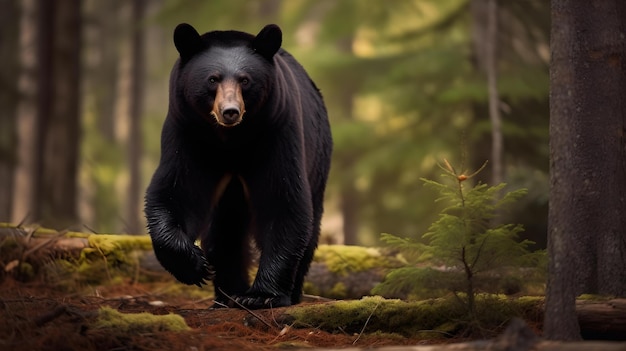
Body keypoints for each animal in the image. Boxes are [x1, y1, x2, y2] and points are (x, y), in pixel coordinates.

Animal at [144, 24, 332, 310]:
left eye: (245, 80)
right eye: (213, 79)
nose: (230, 111)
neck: (231, 141)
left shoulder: (276, 133)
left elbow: (282, 202)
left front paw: (262, 295)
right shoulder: (188, 134)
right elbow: (176, 192)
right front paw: (194, 266)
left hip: (318, 158)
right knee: (224, 231)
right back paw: (228, 294)